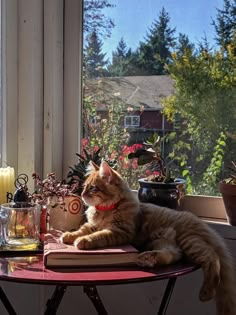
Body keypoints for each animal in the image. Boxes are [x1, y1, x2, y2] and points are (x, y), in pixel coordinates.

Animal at [61, 162, 236, 314]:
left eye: (93, 188)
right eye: (84, 187)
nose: (82, 194)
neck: (106, 210)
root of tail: (201, 223)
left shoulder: (120, 232)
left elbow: (98, 235)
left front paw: (83, 241)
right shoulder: (92, 225)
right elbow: (81, 230)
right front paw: (68, 236)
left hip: (188, 241)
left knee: (211, 258)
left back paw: (206, 292)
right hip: (163, 241)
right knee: (173, 255)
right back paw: (147, 258)